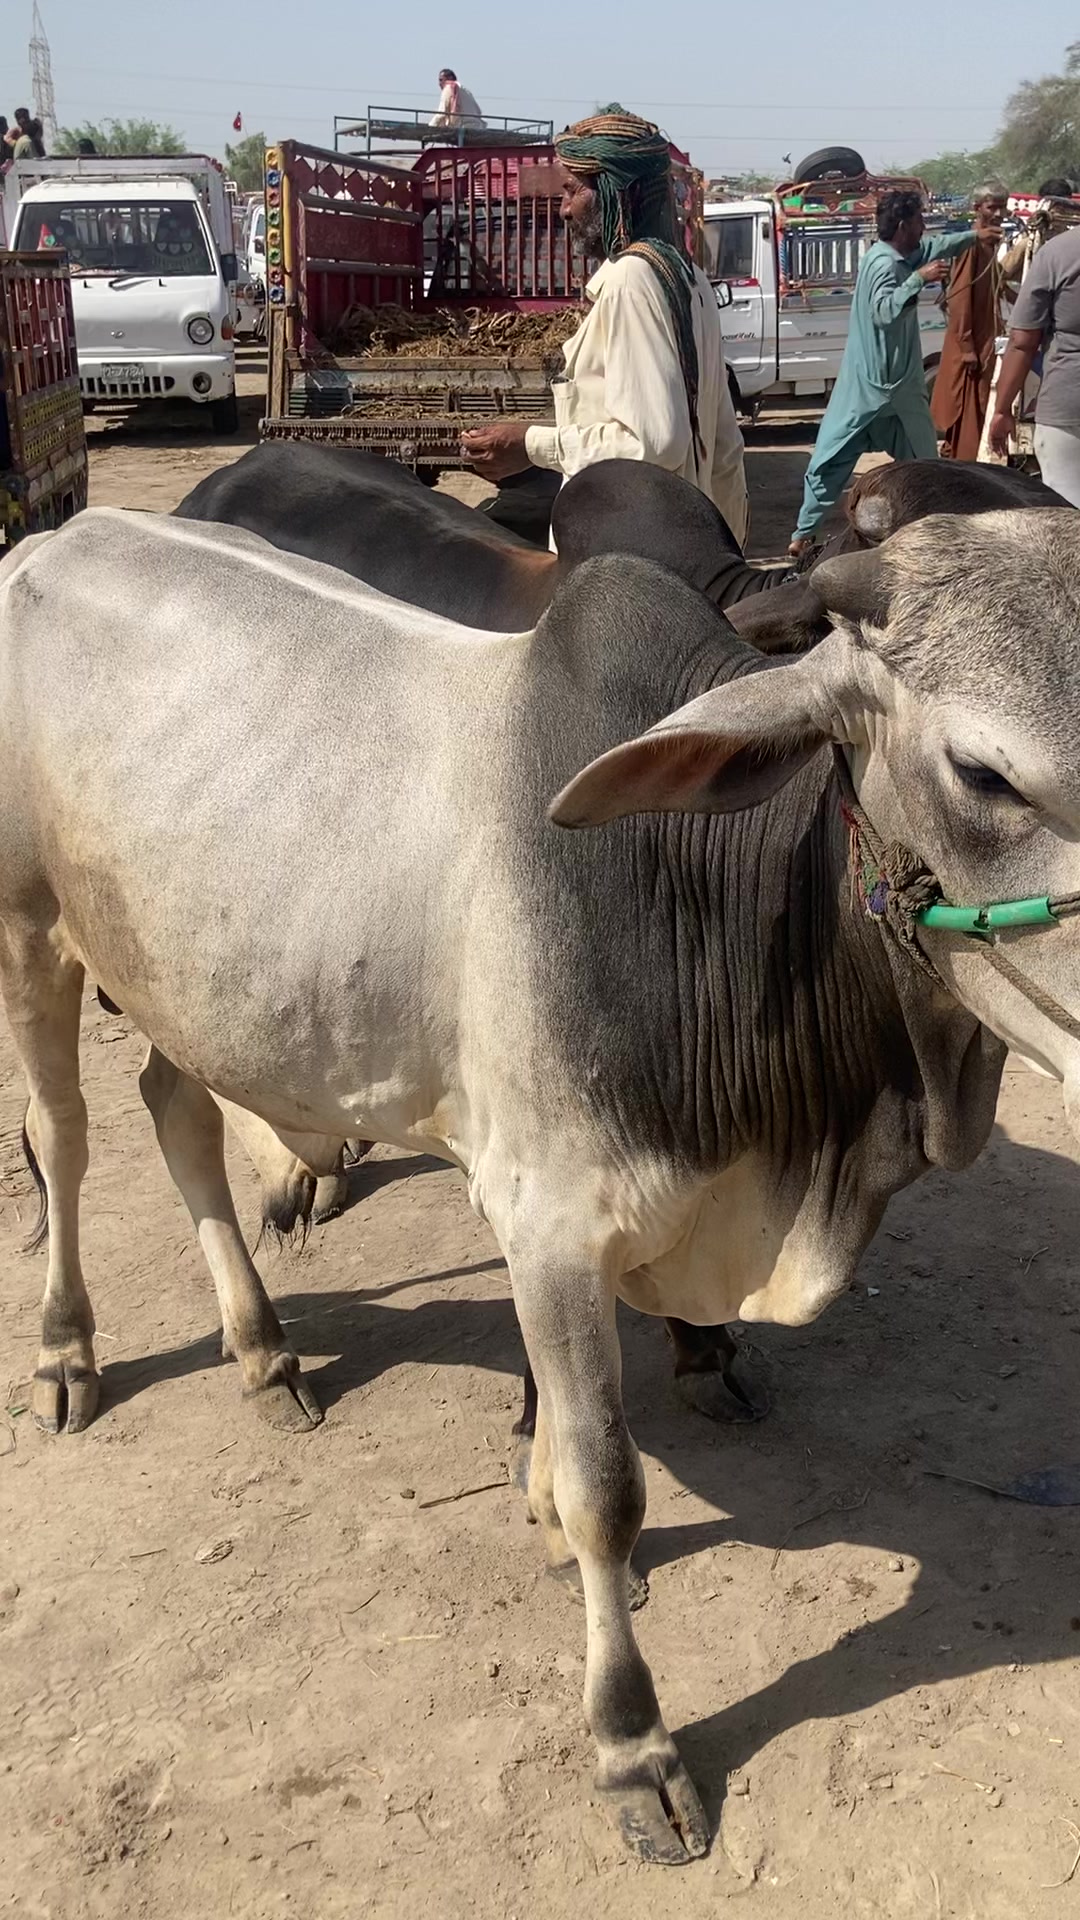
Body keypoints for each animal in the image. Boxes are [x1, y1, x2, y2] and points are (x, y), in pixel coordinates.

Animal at [5, 502, 1080, 1861]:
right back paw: (68, 1354)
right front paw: (633, 1746)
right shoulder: (552, 1221)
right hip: (32, 935)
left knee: (175, 1111)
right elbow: (608, 1485)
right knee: (63, 1129)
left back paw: (262, 1351)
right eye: (986, 776)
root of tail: (60, 534)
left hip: (187, 980)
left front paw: (540, 1509)